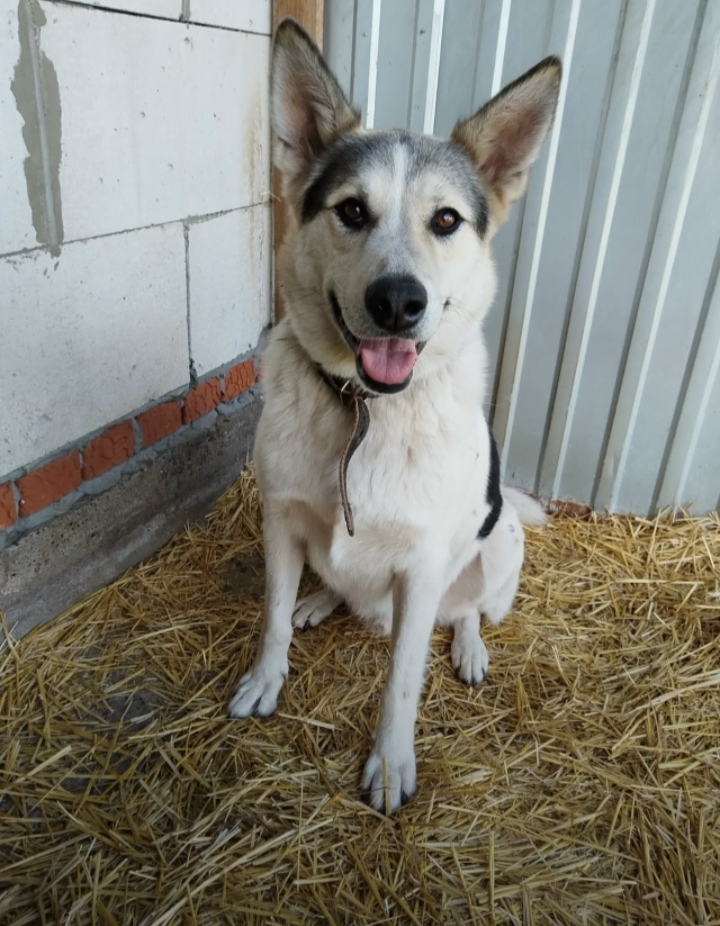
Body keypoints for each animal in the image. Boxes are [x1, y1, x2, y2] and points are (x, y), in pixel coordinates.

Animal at [229, 18, 560, 813]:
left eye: (446, 220)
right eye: (352, 210)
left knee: (466, 609)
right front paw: (266, 677)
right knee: (333, 586)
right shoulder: (281, 520)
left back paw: (469, 647)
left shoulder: (423, 565)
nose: (399, 302)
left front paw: (389, 763)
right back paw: (321, 600)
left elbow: (402, 684)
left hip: (497, 550)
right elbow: (271, 618)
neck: (365, 414)